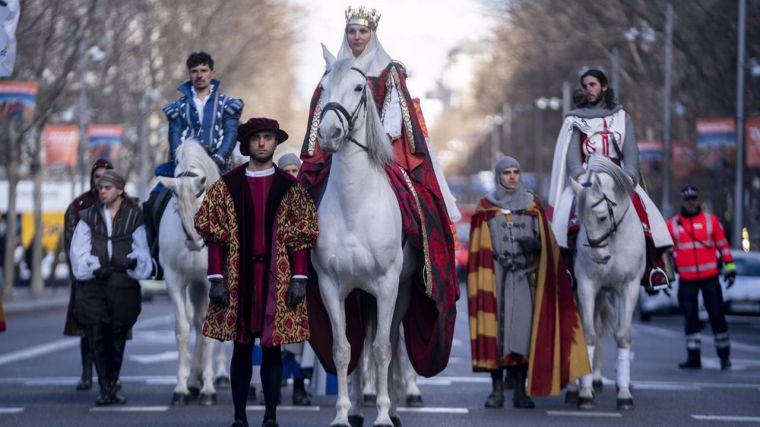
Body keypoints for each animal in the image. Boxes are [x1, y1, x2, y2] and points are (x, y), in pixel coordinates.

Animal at [154, 141, 226, 408]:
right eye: (175, 207)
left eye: (201, 201)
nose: (195, 244)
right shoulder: (175, 279)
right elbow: (183, 328)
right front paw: (182, 388)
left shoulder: (213, 283)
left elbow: (210, 332)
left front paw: (208, 389)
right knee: (196, 321)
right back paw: (195, 380)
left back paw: (218, 377)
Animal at [314, 46, 422, 427]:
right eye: (323, 87)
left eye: (359, 88)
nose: (329, 134)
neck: (354, 207)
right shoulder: (331, 286)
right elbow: (343, 350)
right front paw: (343, 415)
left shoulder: (388, 284)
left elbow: (383, 348)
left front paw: (384, 416)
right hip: (360, 294)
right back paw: (361, 406)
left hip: (400, 291)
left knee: (389, 340)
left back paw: (391, 408)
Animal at [568, 156, 644, 412]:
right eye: (579, 219)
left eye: (601, 217)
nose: (599, 257)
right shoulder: (586, 286)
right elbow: (588, 335)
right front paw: (584, 393)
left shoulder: (628, 287)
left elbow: (623, 336)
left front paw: (624, 395)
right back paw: (578, 387)